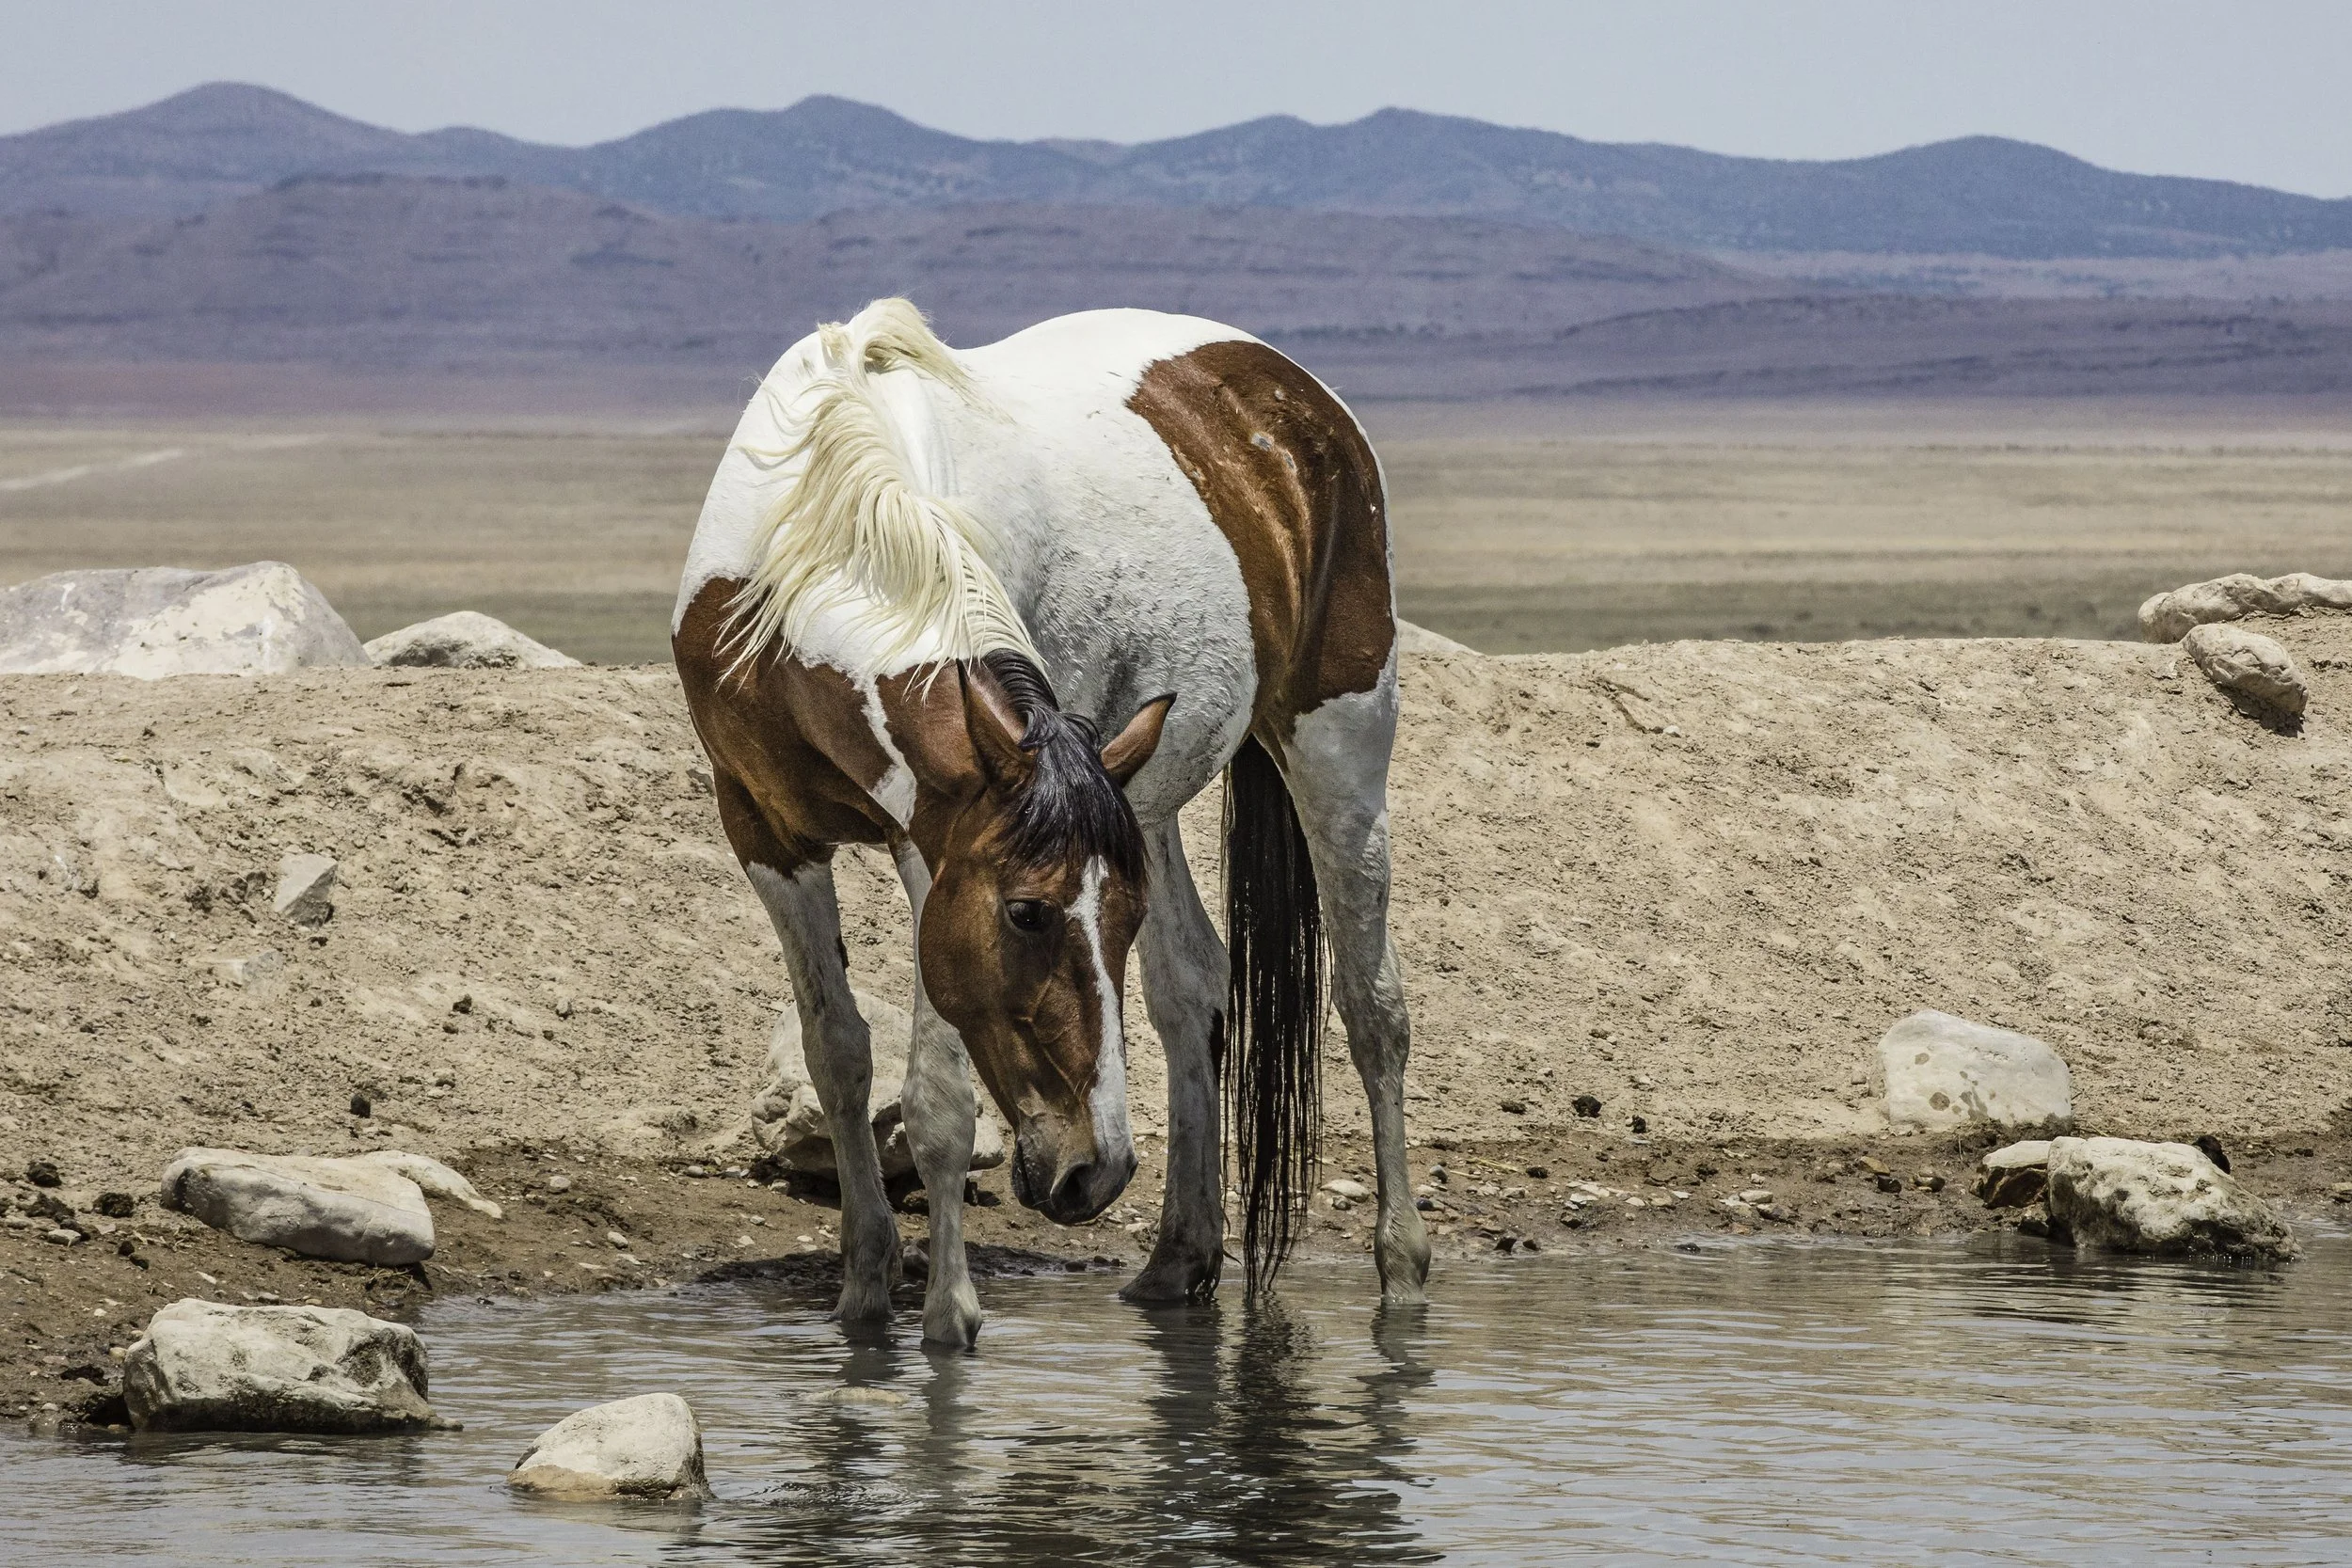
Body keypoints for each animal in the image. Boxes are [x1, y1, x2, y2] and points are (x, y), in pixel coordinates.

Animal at [672, 299, 1429, 1347]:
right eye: (1026, 912)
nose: (1094, 1172)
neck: (815, 536)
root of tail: (1287, 387)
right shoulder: (763, 832)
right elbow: (837, 1054)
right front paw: (864, 1291)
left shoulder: (929, 850)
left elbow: (939, 1100)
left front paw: (947, 1321)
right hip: (1146, 799)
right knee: (1194, 990)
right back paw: (1178, 1257)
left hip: (1340, 741)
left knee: (1372, 1007)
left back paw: (1402, 1271)